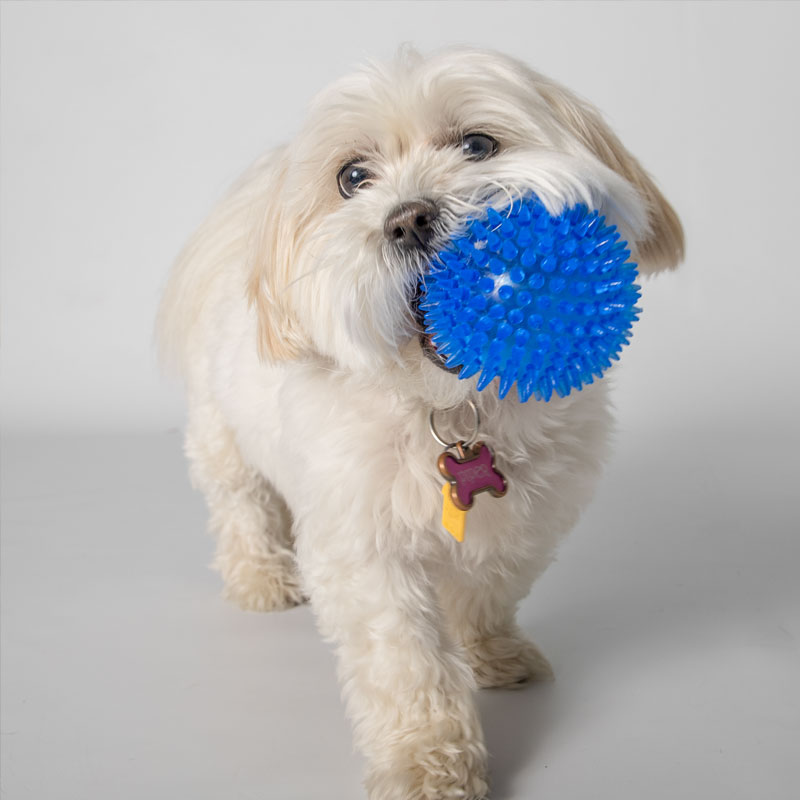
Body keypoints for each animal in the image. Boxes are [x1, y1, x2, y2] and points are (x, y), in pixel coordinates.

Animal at [156, 48, 680, 800]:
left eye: (478, 145)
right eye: (352, 178)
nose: (409, 218)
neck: (453, 405)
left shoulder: (528, 516)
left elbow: (490, 588)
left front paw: (492, 652)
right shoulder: (364, 550)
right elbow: (405, 662)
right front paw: (428, 759)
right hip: (221, 435)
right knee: (242, 504)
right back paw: (261, 576)